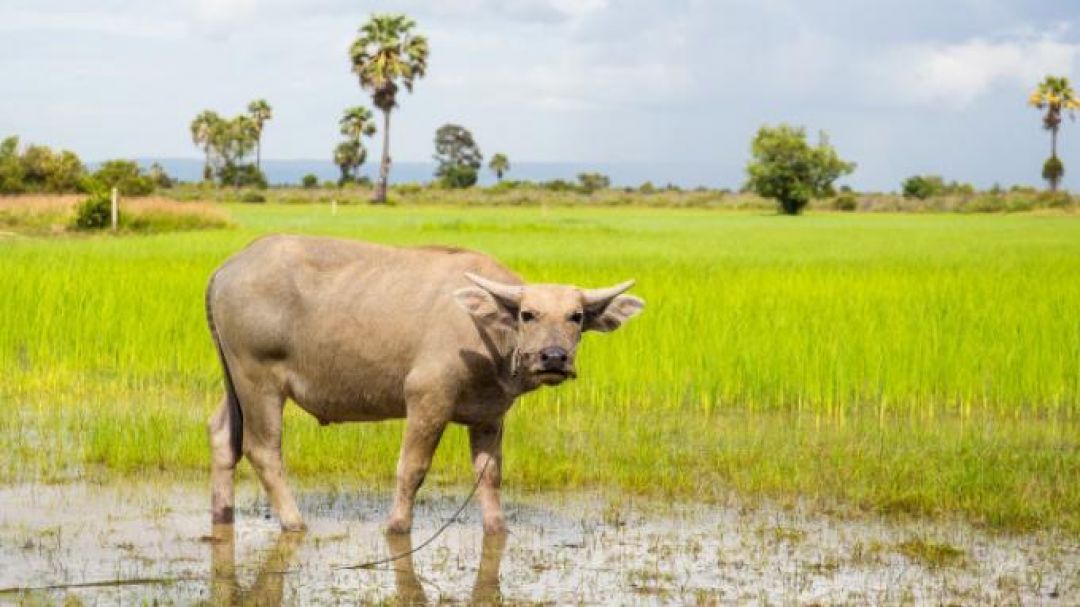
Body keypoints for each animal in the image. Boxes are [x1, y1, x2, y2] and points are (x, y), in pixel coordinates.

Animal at [204, 234, 639, 531]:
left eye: (576, 317)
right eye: (527, 314)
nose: (553, 357)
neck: (480, 327)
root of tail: (228, 268)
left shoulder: (489, 417)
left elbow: (490, 475)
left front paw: (497, 527)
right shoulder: (427, 399)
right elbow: (412, 468)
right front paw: (397, 524)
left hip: (233, 380)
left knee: (223, 435)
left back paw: (223, 515)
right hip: (259, 381)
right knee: (263, 450)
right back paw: (295, 522)